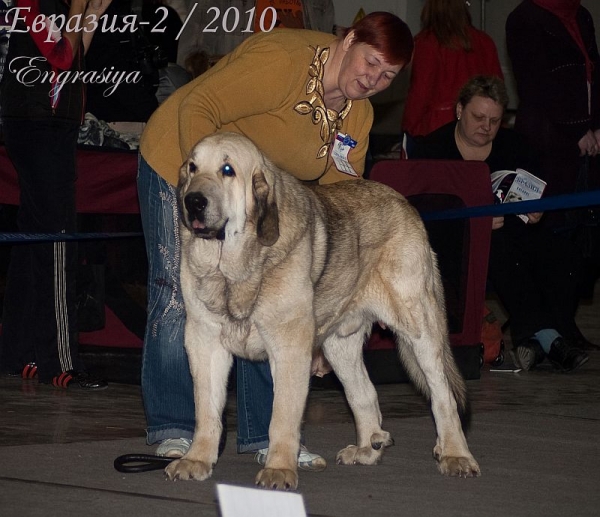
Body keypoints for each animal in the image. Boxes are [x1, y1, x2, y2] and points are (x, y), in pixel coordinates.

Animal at [165, 132, 482, 488]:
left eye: (228, 170)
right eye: (193, 168)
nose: (193, 201)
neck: (236, 267)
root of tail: (405, 204)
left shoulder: (289, 347)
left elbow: (282, 416)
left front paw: (279, 468)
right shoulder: (204, 342)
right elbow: (206, 411)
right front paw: (196, 460)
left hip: (419, 331)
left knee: (443, 396)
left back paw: (455, 454)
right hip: (339, 346)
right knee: (364, 394)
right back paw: (368, 449)